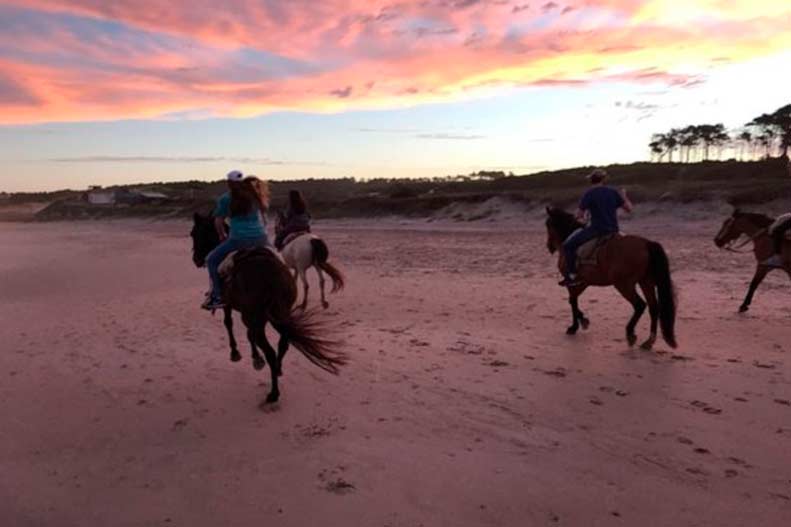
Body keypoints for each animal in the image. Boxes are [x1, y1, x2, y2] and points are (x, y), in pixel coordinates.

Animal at [544, 207, 680, 350]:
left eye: (548, 224)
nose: (549, 246)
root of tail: (646, 244)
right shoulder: (583, 282)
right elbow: (573, 300)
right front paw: (582, 321)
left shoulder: (573, 283)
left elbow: (572, 301)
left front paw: (574, 326)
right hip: (645, 282)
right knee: (653, 308)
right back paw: (649, 341)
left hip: (624, 285)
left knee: (640, 305)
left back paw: (630, 333)